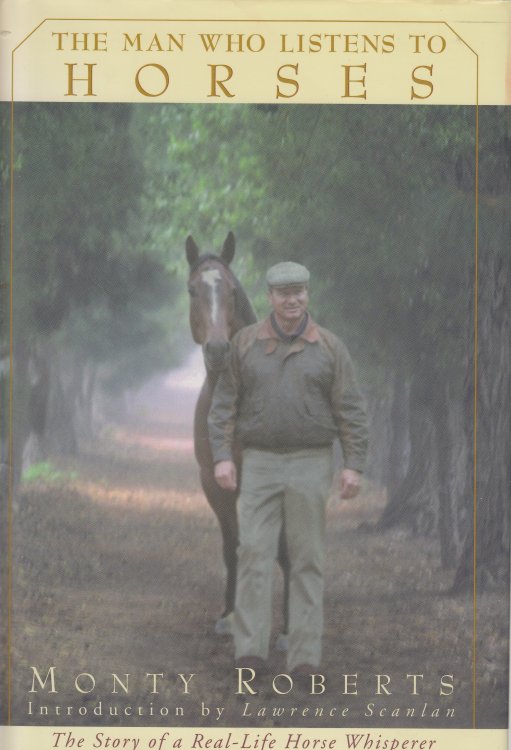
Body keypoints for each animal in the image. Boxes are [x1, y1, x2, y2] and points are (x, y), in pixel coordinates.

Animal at [185, 232, 289, 644]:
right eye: (192, 289)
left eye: (230, 290)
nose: (217, 349)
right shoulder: (214, 482)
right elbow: (233, 546)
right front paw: (229, 616)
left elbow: (278, 548)